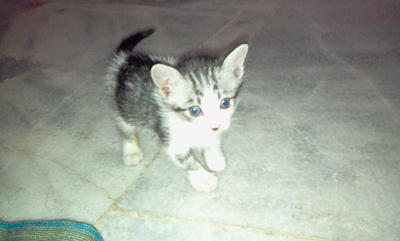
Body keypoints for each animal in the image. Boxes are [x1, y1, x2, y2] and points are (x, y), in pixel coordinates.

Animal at [108, 29, 248, 192]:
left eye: (224, 103)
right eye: (194, 110)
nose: (215, 126)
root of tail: (127, 60)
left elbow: (213, 141)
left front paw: (214, 157)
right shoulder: (171, 136)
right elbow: (187, 160)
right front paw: (203, 178)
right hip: (127, 106)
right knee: (124, 125)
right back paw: (131, 151)